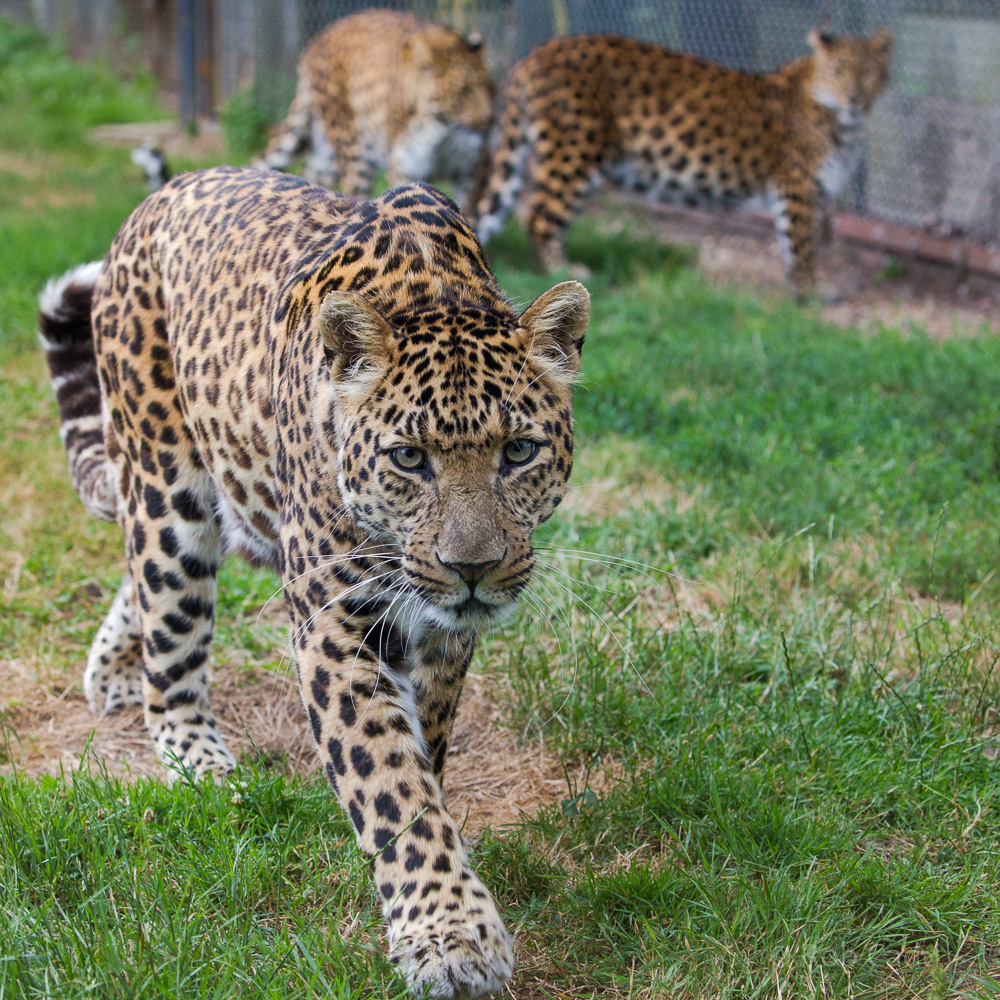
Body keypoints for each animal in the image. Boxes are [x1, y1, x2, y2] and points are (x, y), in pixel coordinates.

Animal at [38, 165, 590, 999]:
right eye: (409, 458)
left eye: (520, 451)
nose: (472, 568)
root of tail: (160, 195)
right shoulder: (335, 623)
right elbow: (390, 777)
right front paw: (449, 934)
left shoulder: (441, 636)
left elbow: (425, 750)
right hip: (166, 483)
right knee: (168, 617)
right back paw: (199, 759)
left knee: (139, 572)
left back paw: (111, 671)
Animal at [255, 8, 495, 214]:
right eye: (464, 90)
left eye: (489, 87)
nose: (490, 119)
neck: (444, 129)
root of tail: (316, 39)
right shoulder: (406, 166)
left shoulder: (470, 172)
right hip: (352, 149)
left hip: (325, 156)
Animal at [474, 28, 894, 298]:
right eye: (840, 71)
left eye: (870, 73)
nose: (855, 99)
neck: (848, 124)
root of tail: (533, 54)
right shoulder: (798, 185)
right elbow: (803, 244)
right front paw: (812, 291)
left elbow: (799, 245)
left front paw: (804, 288)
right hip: (575, 153)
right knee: (540, 215)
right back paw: (565, 270)